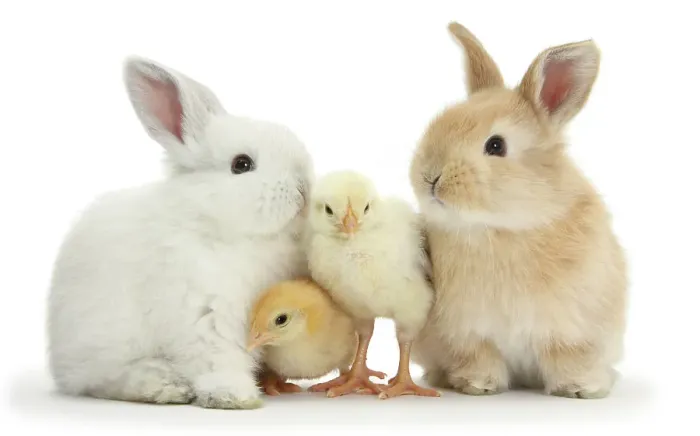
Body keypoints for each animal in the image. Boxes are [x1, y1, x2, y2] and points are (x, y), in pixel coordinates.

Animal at [47, 56, 314, 409]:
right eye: (241, 164)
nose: (303, 188)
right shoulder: (206, 316)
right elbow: (217, 360)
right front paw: (234, 396)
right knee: (103, 379)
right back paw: (164, 385)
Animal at [408, 22, 627, 399]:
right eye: (441, 123)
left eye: (496, 145)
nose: (430, 177)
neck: (499, 228)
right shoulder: (467, 330)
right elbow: (480, 357)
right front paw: (477, 385)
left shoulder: (571, 329)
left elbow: (568, 357)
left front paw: (579, 389)